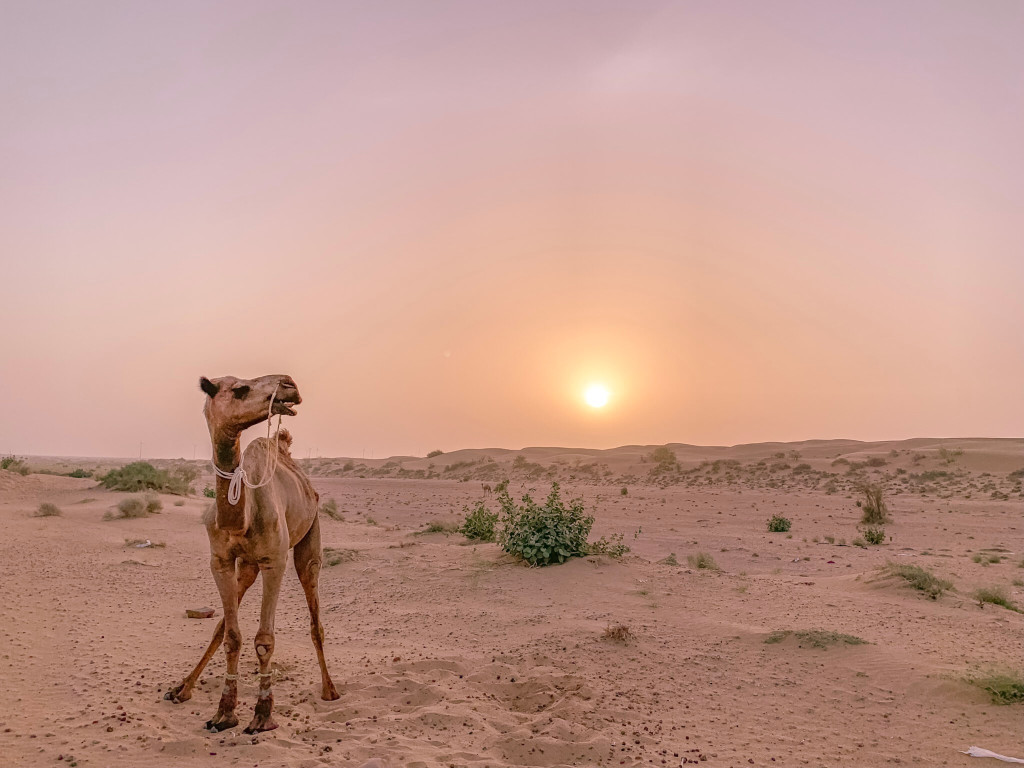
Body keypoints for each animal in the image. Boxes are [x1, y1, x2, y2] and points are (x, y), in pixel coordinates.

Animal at [164, 374, 339, 733]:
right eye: (239, 389)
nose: (289, 384)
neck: (240, 517)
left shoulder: (275, 561)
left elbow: (264, 639)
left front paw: (262, 715)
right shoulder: (221, 561)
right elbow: (231, 635)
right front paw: (224, 712)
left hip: (309, 539)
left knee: (315, 614)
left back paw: (329, 690)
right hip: (246, 566)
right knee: (223, 625)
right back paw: (182, 688)